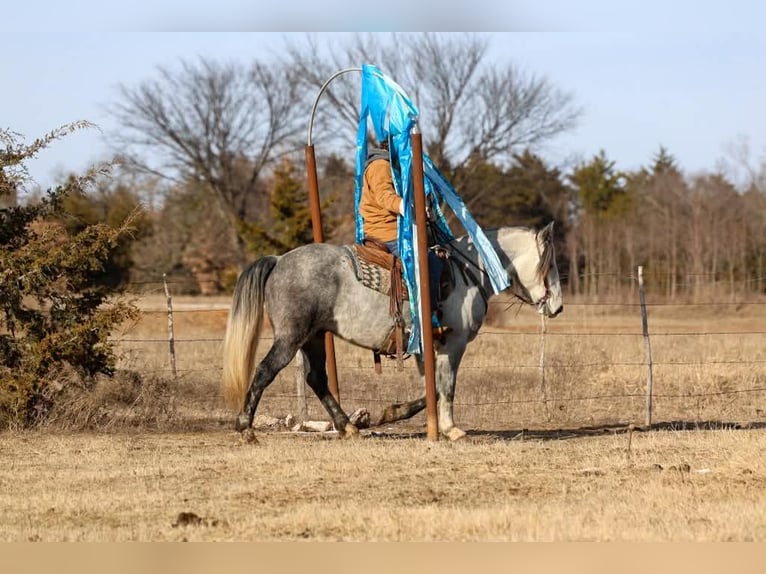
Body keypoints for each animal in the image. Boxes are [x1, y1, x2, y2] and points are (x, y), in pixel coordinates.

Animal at [222, 222, 563, 441]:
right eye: (550, 264)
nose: (558, 306)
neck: (468, 271)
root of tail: (279, 260)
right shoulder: (453, 344)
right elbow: (447, 386)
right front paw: (451, 429)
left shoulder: (427, 349)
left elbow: (432, 388)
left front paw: (394, 413)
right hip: (290, 337)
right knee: (265, 371)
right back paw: (246, 428)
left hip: (313, 337)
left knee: (316, 378)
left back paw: (347, 427)